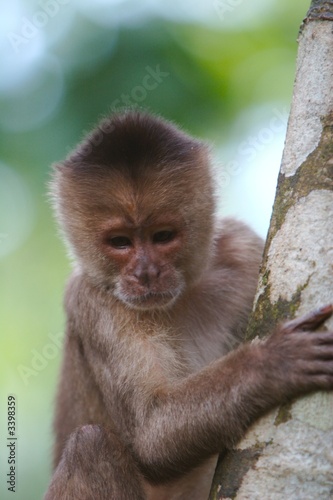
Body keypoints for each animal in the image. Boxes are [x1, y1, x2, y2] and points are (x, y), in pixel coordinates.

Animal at [45, 110, 332, 500]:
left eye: (162, 236)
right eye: (120, 242)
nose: (146, 273)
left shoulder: (242, 249)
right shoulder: (91, 299)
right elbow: (151, 437)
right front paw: (273, 362)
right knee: (90, 444)